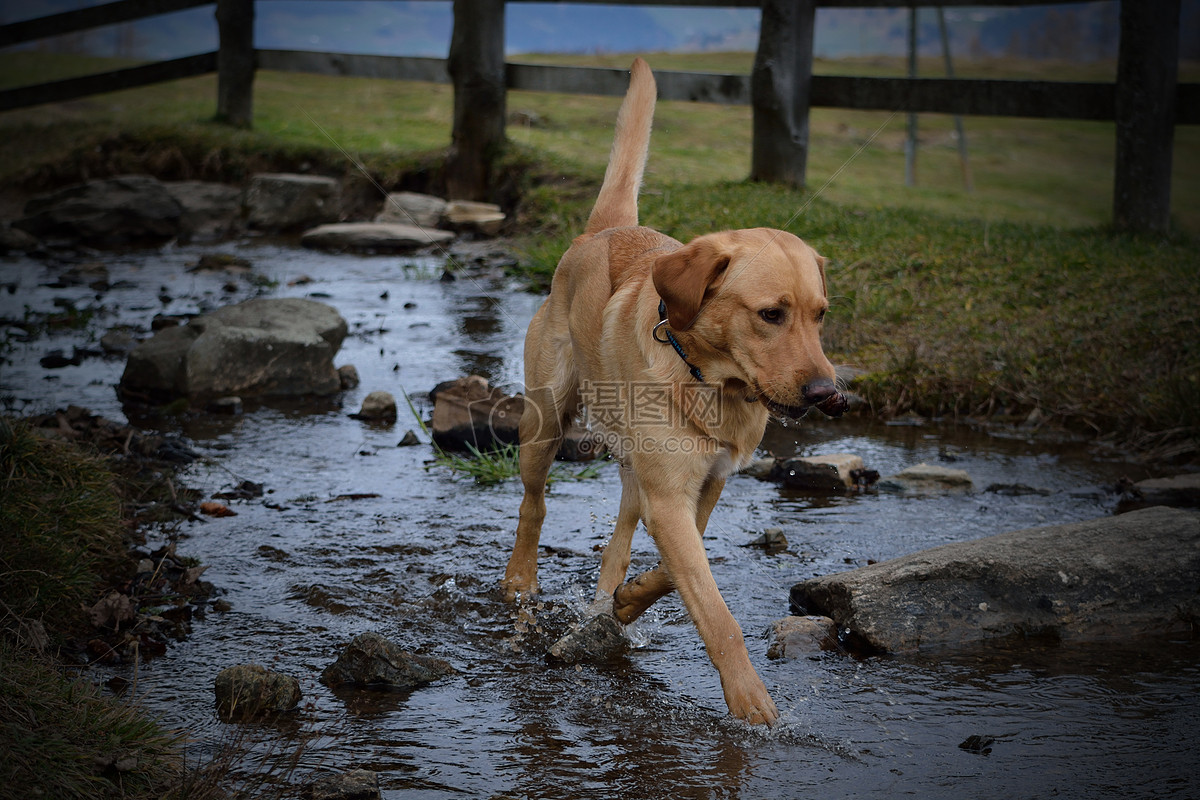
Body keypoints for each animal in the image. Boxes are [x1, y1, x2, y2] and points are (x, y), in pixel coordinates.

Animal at [501, 61, 849, 724]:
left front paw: (629, 601)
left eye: (821, 315)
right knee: (533, 505)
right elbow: (715, 613)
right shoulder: (670, 498)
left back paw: (606, 600)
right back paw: (520, 581)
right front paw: (751, 703)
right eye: (770, 314)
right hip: (544, 422)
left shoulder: (703, 486)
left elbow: (669, 571)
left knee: (617, 537)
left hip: (634, 470)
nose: (825, 393)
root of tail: (605, 229)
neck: (710, 381)